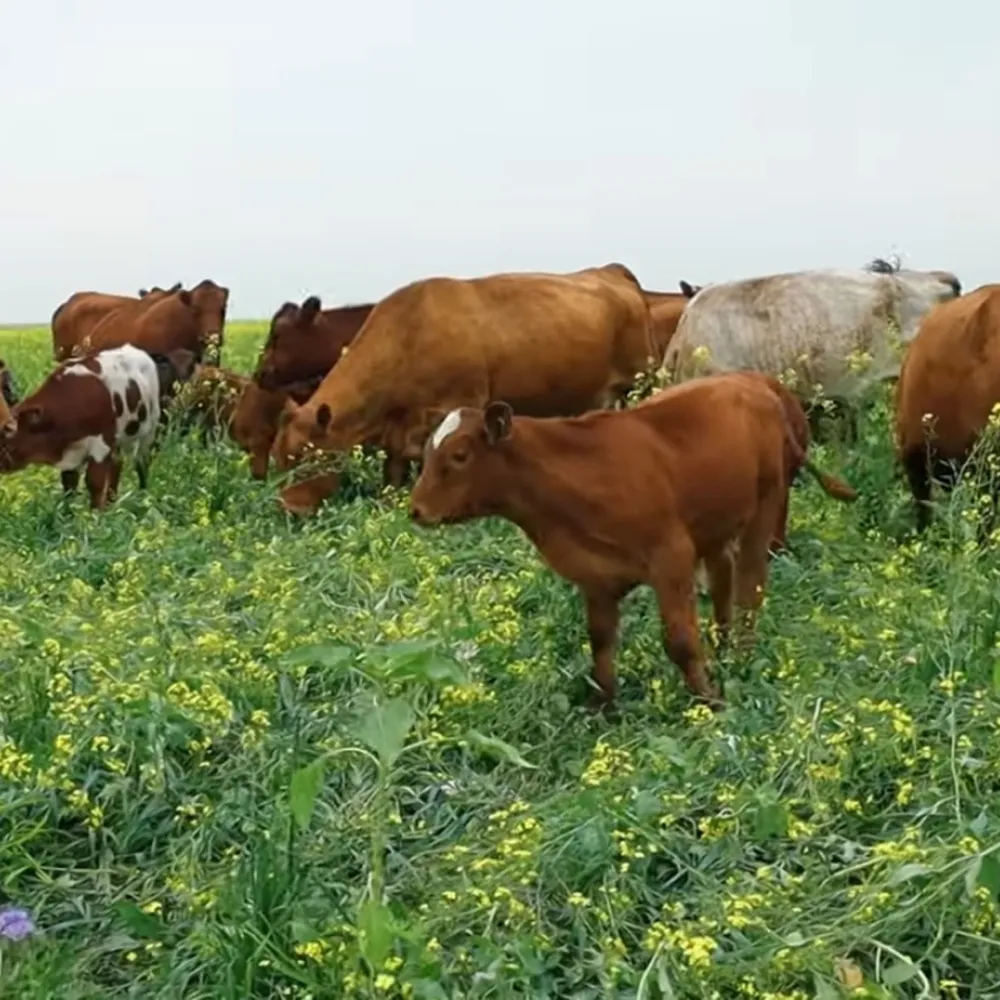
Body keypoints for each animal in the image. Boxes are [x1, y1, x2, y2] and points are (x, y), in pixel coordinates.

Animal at [0, 345, 189, 508]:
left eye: (8, 430)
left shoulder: (101, 445)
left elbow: (94, 483)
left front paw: (95, 518)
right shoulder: (72, 453)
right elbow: (69, 485)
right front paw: (67, 515)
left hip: (151, 432)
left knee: (142, 464)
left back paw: (142, 497)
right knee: (117, 466)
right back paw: (112, 503)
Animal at [269, 265, 656, 516]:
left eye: (305, 455)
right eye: (277, 458)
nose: (286, 508)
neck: (409, 335)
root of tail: (612, 271)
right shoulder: (397, 436)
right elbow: (393, 475)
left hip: (641, 381)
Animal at [406, 372, 852, 710]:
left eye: (460, 455)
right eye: (426, 454)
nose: (416, 510)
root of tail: (758, 384)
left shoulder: (671, 558)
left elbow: (680, 642)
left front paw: (710, 701)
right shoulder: (596, 579)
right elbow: (601, 643)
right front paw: (603, 705)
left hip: (765, 507)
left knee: (750, 586)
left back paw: (742, 653)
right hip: (715, 525)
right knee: (724, 582)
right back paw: (723, 647)